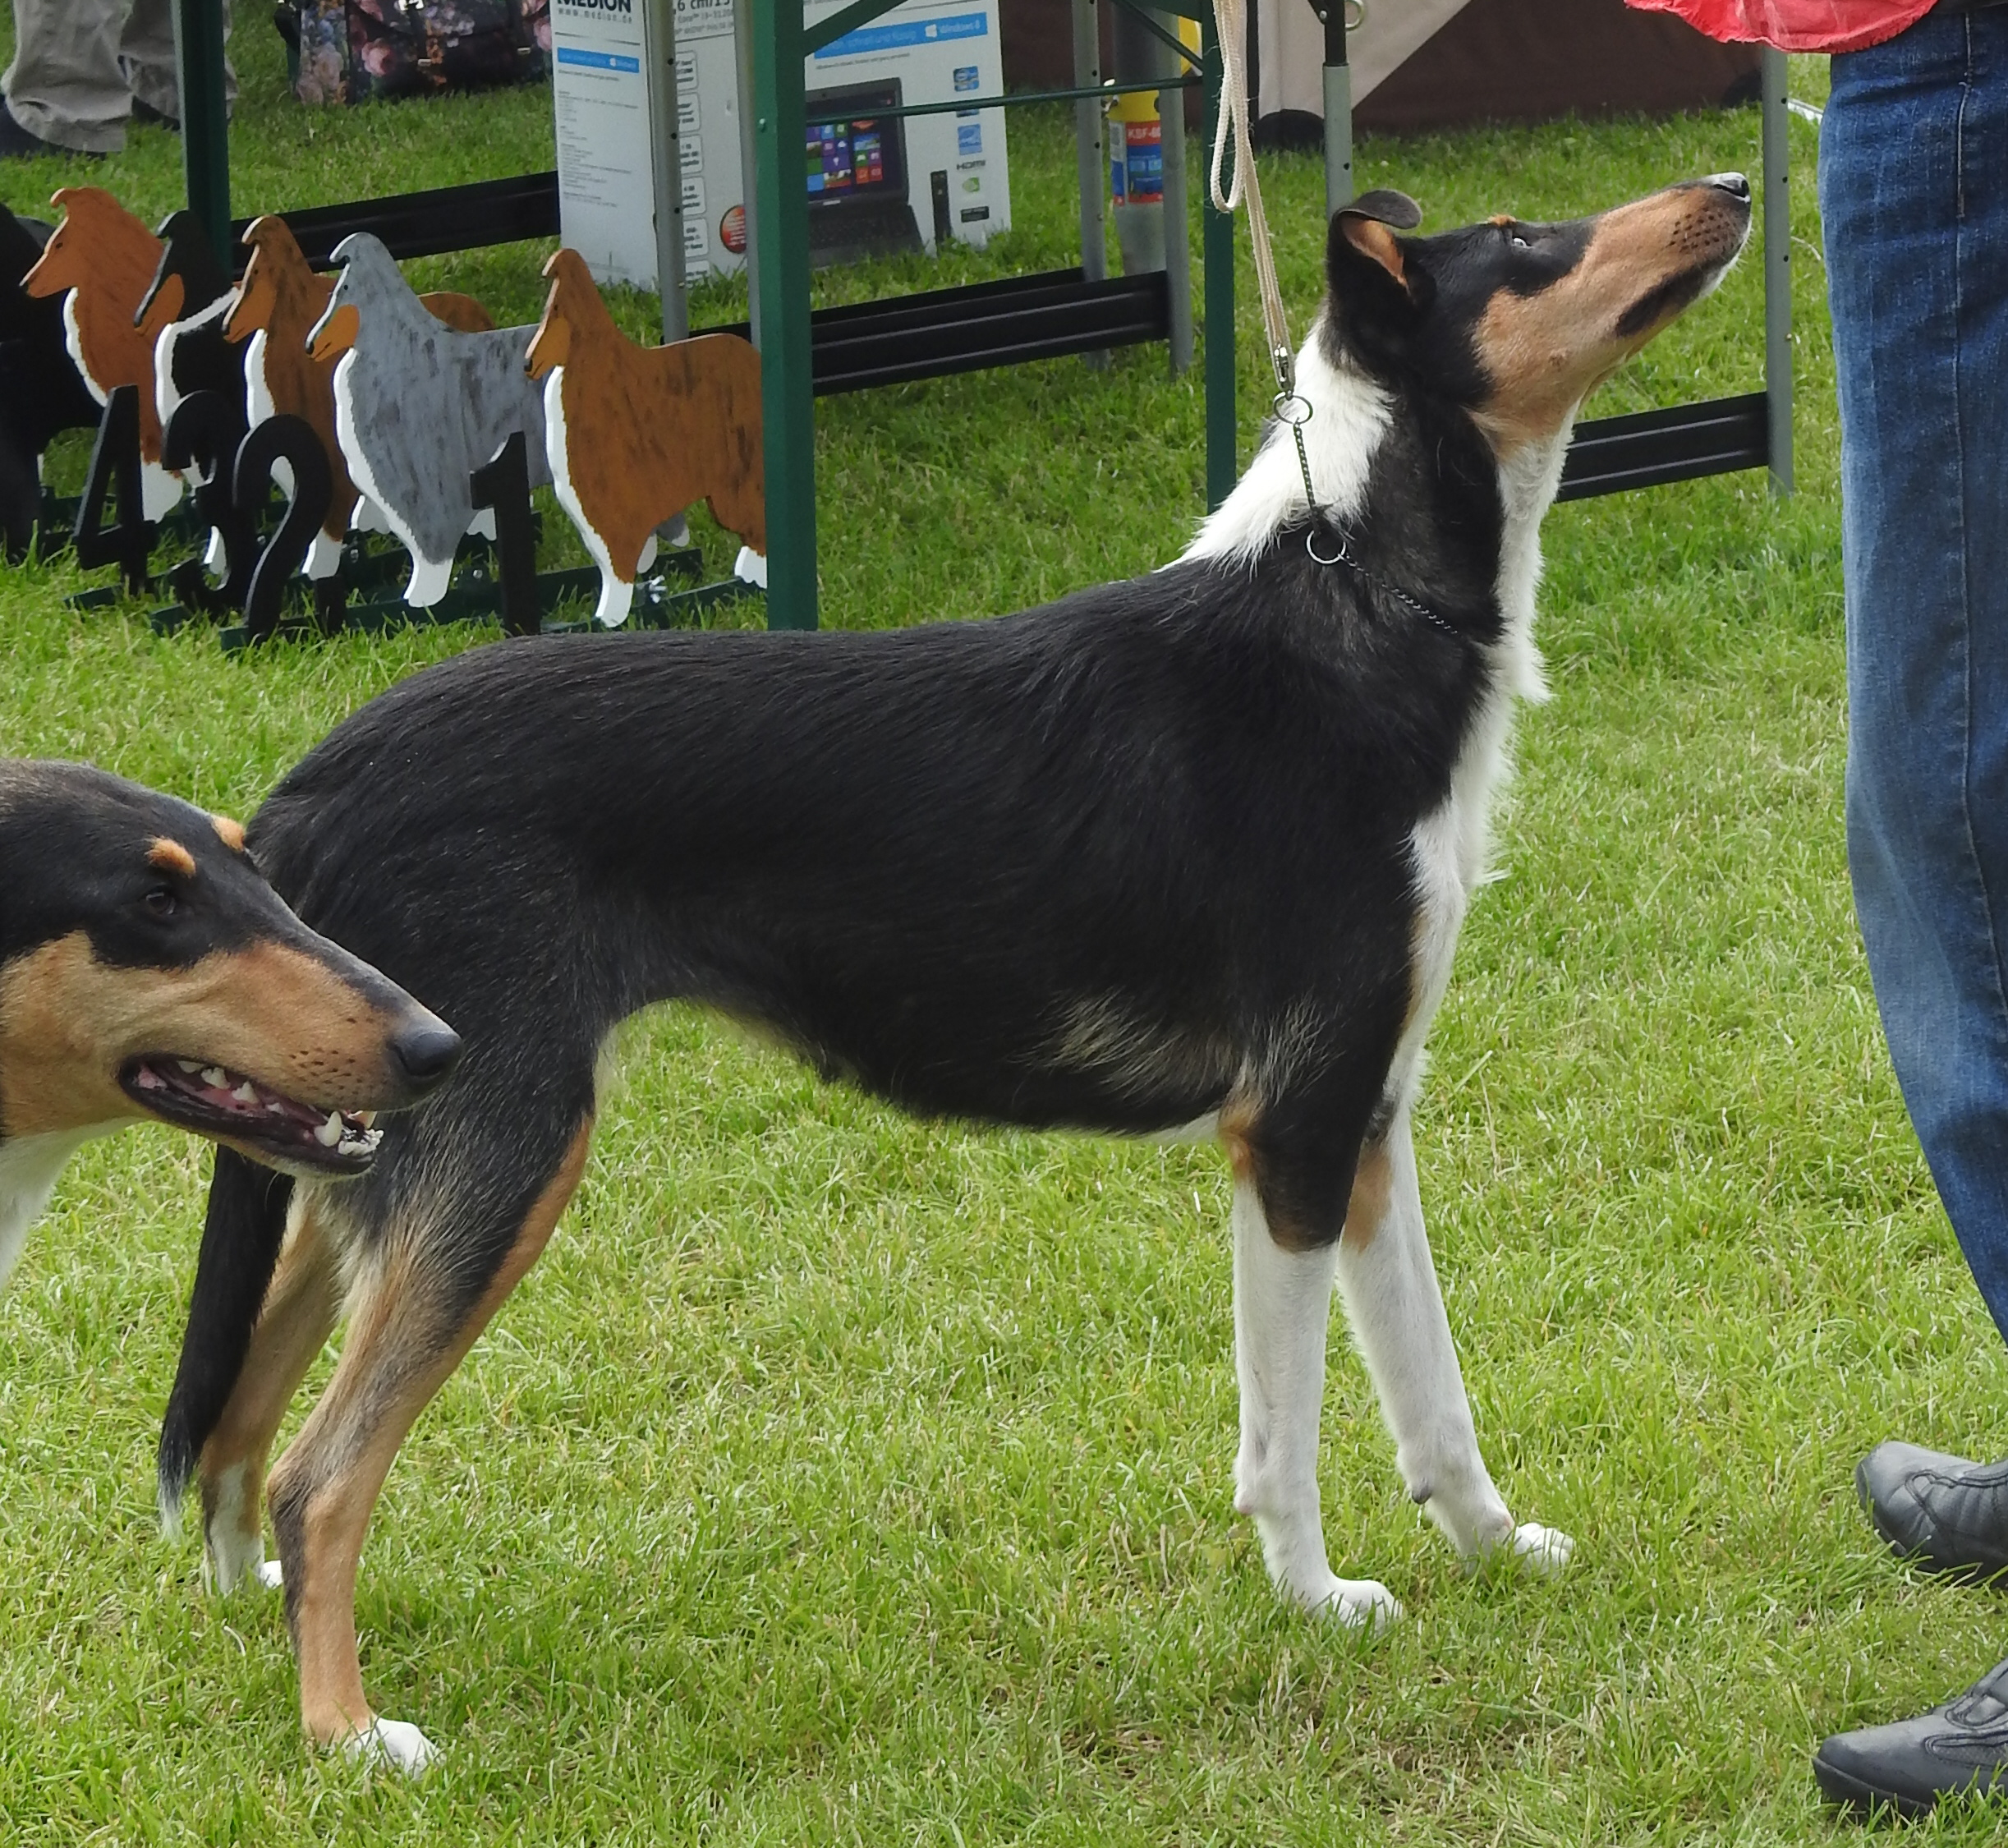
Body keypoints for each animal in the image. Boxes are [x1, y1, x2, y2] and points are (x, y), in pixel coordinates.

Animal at [160, 181, 1758, 1768]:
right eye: (1528, 243)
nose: (1732, 190)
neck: (1356, 597)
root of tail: (302, 795)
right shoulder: (1296, 1131)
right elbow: (1285, 1432)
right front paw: (1317, 1603)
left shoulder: (1368, 1119)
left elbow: (1435, 1394)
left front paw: (1497, 1553)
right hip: (501, 1154)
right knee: (318, 1473)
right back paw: (350, 1735)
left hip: (364, 1154)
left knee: (235, 1436)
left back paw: (252, 1631)